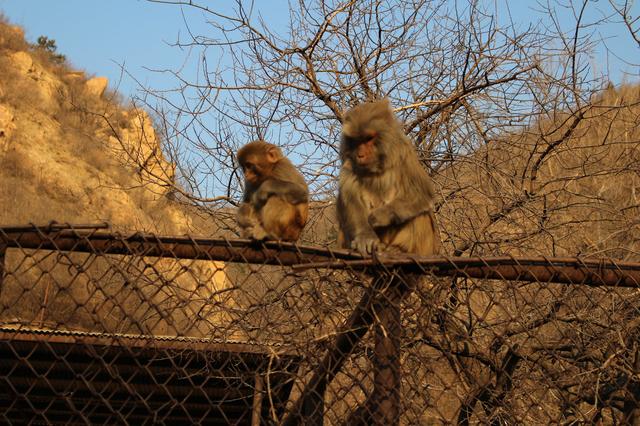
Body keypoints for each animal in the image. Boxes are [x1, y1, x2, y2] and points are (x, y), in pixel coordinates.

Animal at [340, 98, 440, 255]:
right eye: (357, 141)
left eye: (368, 139)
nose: (360, 155)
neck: (377, 165)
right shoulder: (349, 164)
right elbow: (351, 199)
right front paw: (364, 236)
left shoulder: (404, 153)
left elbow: (421, 192)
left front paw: (380, 216)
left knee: (419, 212)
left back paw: (399, 248)